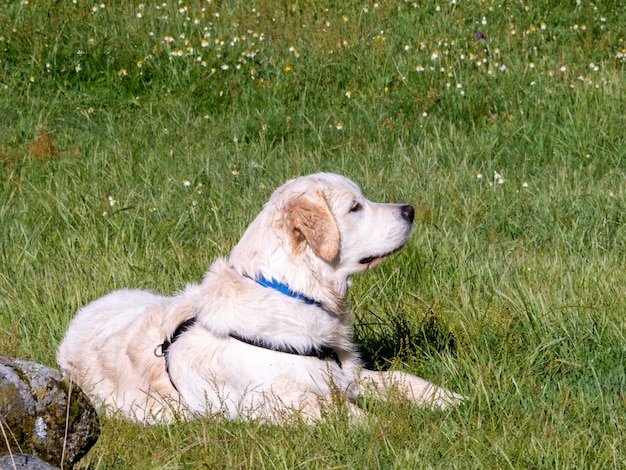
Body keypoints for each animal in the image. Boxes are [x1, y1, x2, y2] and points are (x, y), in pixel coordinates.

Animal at [58, 173, 464, 422]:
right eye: (355, 207)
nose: (410, 210)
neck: (294, 293)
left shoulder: (344, 373)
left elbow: (402, 379)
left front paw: (449, 400)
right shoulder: (277, 400)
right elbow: (350, 416)